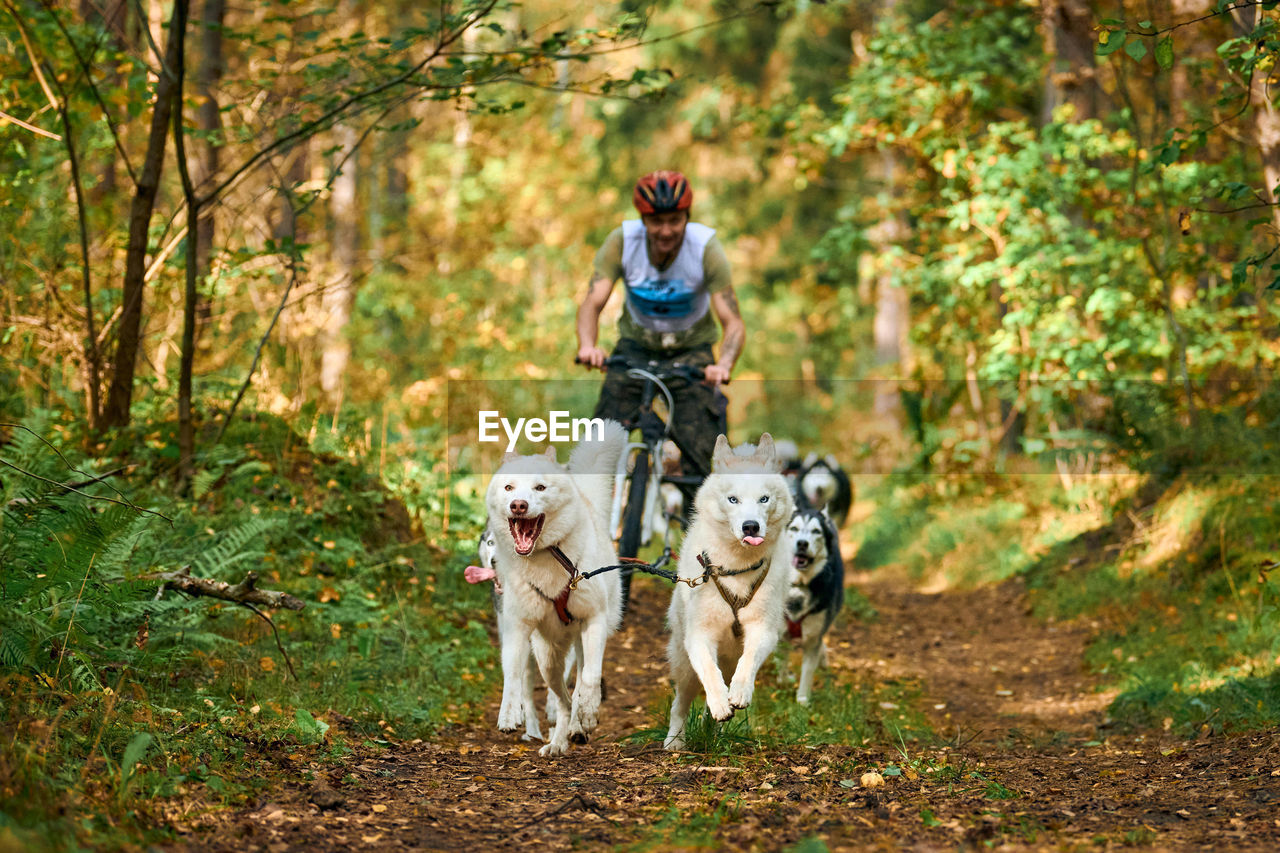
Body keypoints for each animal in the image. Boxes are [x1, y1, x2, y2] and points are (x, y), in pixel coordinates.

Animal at [483, 422, 624, 753]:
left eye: (540, 488)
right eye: (509, 488)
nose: (518, 505)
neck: (549, 558)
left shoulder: (595, 620)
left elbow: (590, 678)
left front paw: (589, 710)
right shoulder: (517, 626)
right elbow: (511, 673)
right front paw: (510, 712)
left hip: (583, 640)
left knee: (580, 682)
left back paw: (580, 722)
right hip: (547, 659)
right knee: (562, 700)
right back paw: (559, 742)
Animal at [665, 435, 793, 747]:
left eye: (764, 499)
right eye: (733, 499)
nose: (751, 526)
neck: (736, 569)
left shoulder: (763, 630)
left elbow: (748, 663)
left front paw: (738, 693)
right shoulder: (699, 636)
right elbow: (710, 675)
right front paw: (720, 702)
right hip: (684, 666)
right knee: (680, 703)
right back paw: (675, 741)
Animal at [773, 507, 844, 701]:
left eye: (816, 531)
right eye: (794, 529)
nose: (802, 544)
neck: (799, 585)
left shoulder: (813, 638)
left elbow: (808, 671)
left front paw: (802, 701)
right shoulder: (781, 632)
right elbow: (783, 657)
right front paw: (783, 681)